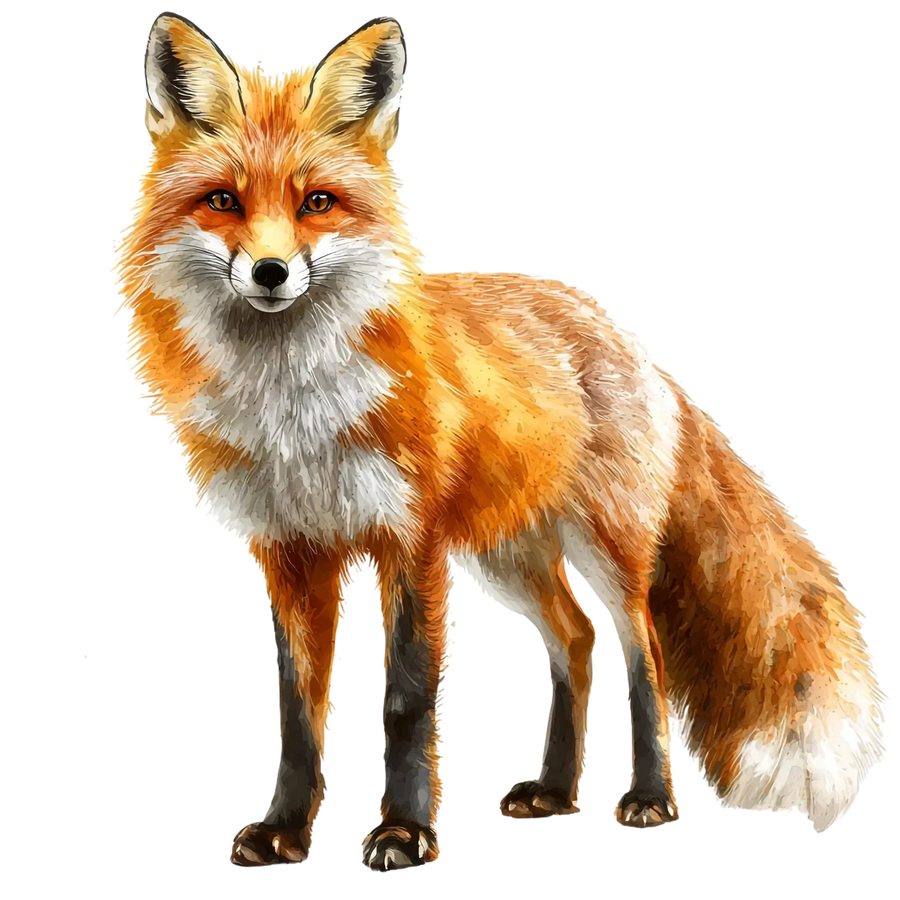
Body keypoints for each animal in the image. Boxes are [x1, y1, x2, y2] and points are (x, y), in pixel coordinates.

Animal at [111, 9, 890, 872]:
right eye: (222, 200)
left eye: (317, 202)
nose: (272, 272)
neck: (295, 410)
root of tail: (619, 327)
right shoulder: (291, 554)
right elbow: (298, 712)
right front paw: (284, 832)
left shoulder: (409, 543)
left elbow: (407, 700)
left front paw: (404, 832)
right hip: (507, 557)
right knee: (577, 641)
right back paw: (554, 792)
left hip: (602, 548)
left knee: (640, 652)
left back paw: (650, 799)